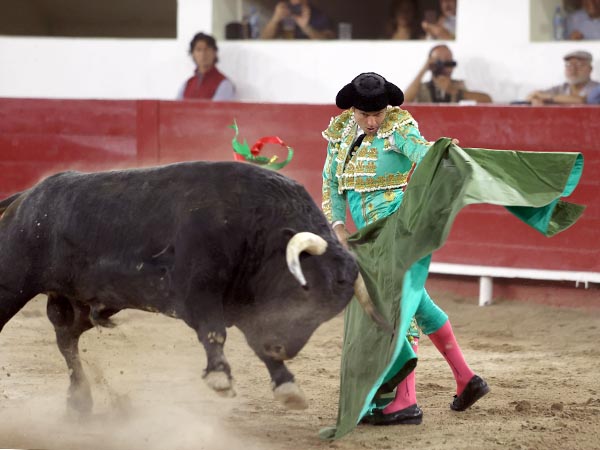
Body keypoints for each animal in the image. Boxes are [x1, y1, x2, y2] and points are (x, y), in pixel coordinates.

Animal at [0, 161, 384, 412]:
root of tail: (25, 198)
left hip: (80, 302)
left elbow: (253, 345)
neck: (256, 226)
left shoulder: (249, 305)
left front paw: (287, 386)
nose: (282, 348)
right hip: (13, 284)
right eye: (305, 288)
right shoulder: (197, 293)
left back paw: (80, 400)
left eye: (329, 311)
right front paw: (220, 378)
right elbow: (214, 332)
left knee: (66, 341)